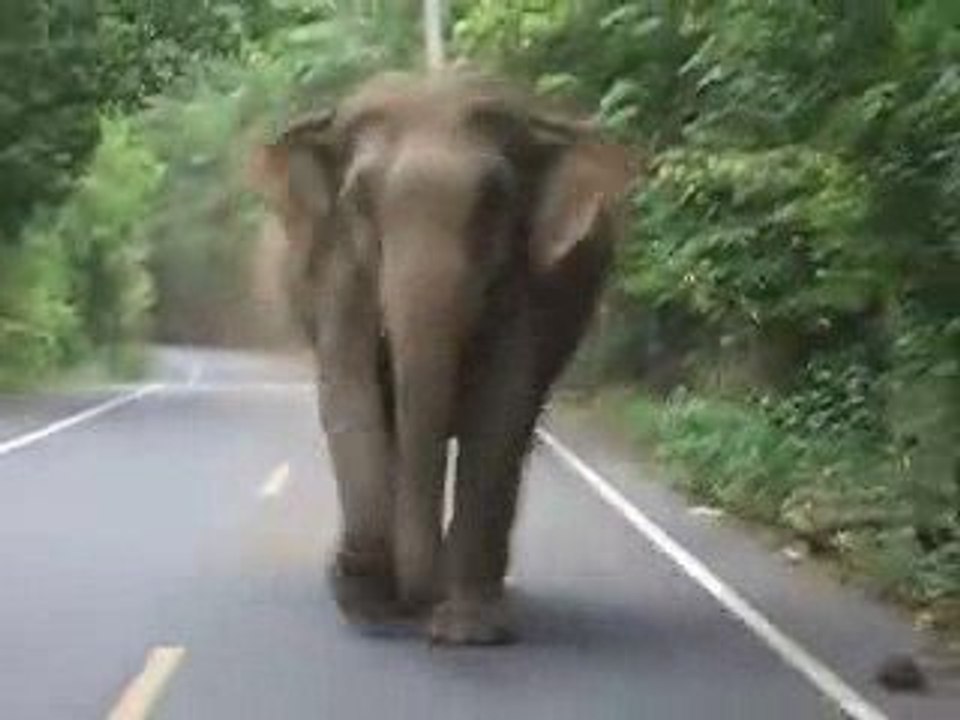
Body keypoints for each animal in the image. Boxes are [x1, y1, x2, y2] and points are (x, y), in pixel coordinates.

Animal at [250, 70, 637, 645]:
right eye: (359, 198)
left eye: (495, 200)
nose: (415, 603)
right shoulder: (335, 267)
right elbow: (351, 393)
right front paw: (366, 604)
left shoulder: (527, 278)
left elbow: (502, 407)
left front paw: (467, 632)